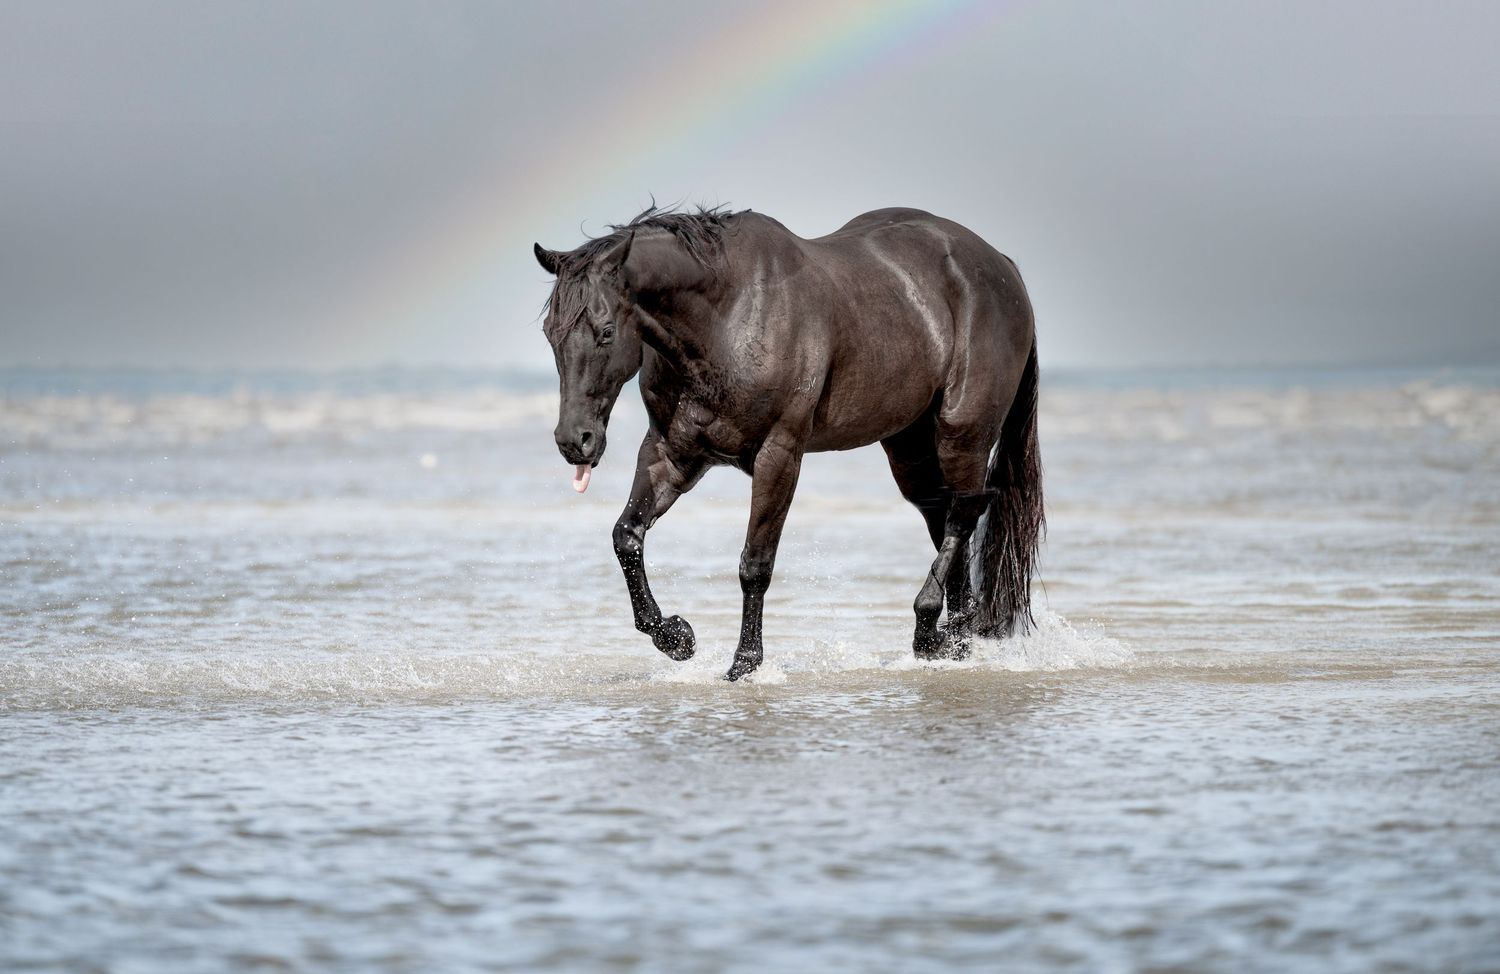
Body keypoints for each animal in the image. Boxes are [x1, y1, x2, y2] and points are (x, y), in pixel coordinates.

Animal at [535, 205, 1042, 681]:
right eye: (549, 333)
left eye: (605, 331)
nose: (574, 441)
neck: (727, 318)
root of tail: (1003, 267)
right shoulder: (671, 456)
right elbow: (627, 537)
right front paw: (676, 636)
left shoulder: (778, 456)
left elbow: (755, 564)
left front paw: (745, 663)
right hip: (909, 446)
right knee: (941, 514)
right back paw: (954, 637)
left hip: (963, 433)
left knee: (964, 512)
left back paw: (928, 626)